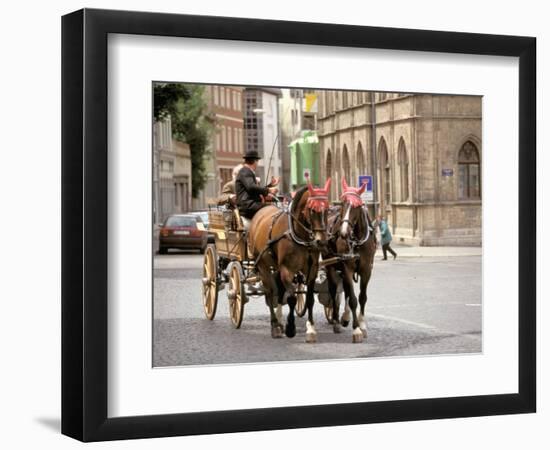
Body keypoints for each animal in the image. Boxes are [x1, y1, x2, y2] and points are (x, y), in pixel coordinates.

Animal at [249, 179, 332, 342]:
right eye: (312, 210)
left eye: (327, 209)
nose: (321, 241)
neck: (299, 235)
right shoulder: (287, 270)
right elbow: (292, 298)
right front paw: (290, 328)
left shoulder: (312, 270)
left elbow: (310, 299)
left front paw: (310, 329)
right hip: (262, 265)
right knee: (270, 292)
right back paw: (275, 325)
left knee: (280, 291)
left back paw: (279, 322)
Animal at [326, 178, 378, 342]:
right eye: (343, 203)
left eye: (357, 206)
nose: (343, 232)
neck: (356, 240)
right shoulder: (347, 267)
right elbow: (353, 299)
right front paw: (356, 330)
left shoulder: (366, 269)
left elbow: (361, 297)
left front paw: (361, 325)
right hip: (330, 265)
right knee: (333, 291)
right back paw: (336, 321)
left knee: (346, 291)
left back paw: (345, 317)